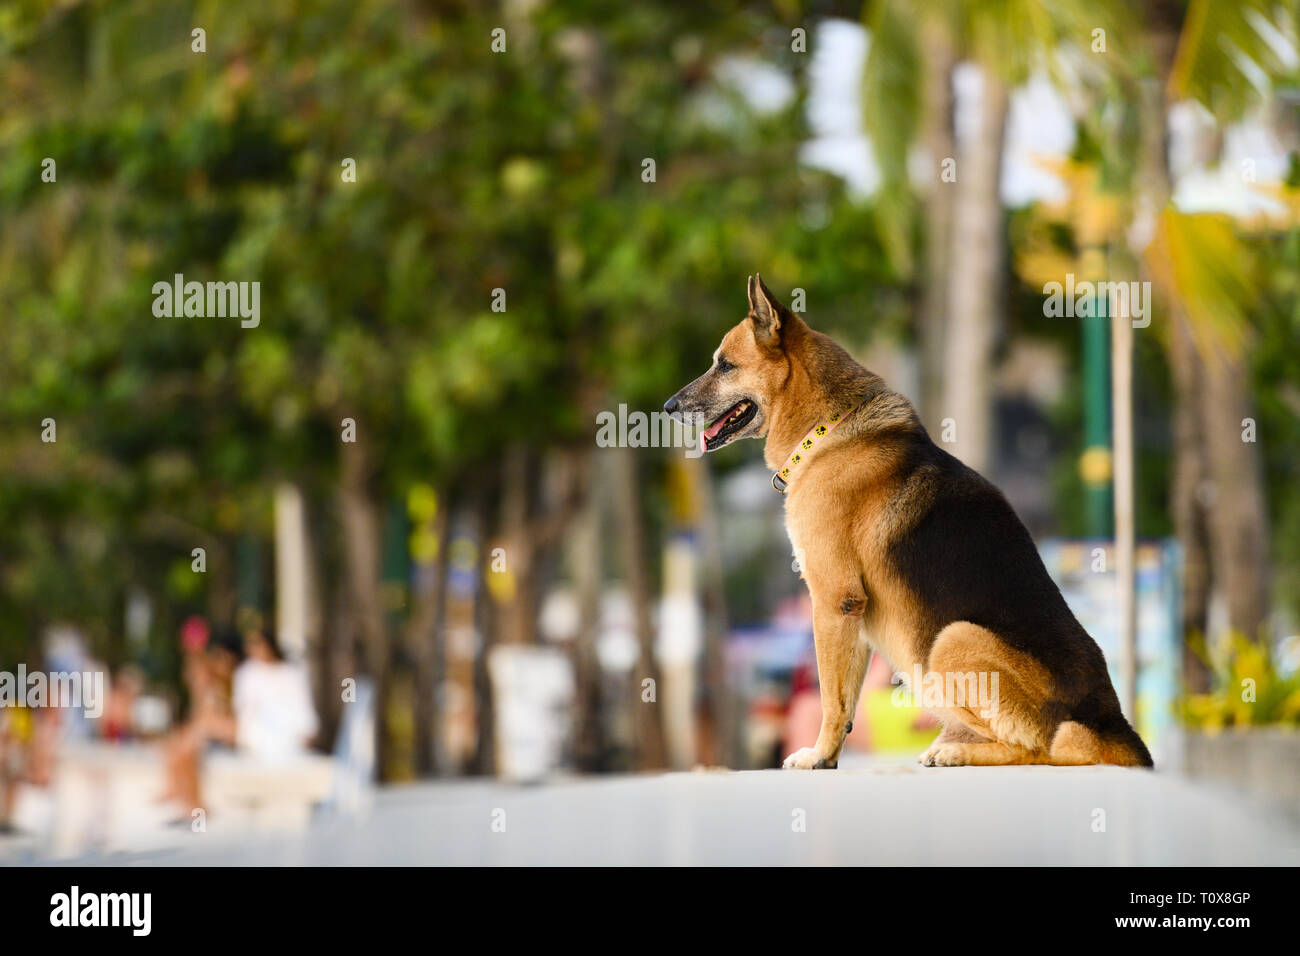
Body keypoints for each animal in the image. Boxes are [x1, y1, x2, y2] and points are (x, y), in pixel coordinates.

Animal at [665, 274, 1154, 770]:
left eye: (725, 365)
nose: (667, 407)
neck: (827, 432)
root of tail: (1111, 725)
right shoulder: (853, 615)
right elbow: (846, 700)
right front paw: (830, 756)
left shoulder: (833, 600)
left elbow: (828, 698)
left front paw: (816, 756)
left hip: (954, 638)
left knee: (1040, 750)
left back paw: (956, 750)